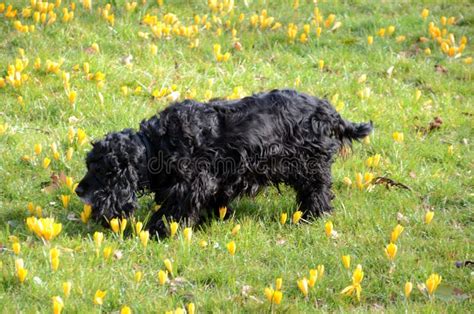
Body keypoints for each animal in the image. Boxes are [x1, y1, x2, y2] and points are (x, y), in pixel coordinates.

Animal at [76, 88, 372, 236]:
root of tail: (328, 110)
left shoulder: (193, 182)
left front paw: (158, 231)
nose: (78, 190)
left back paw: (311, 216)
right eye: (88, 164)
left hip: (310, 165)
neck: (155, 145)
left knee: (317, 191)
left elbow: (175, 209)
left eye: (100, 170)